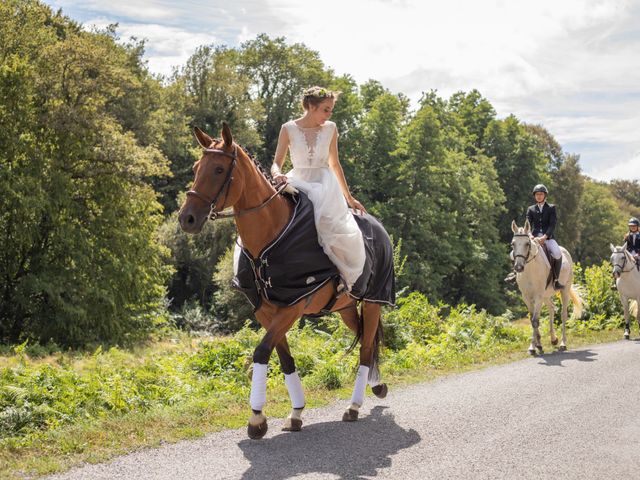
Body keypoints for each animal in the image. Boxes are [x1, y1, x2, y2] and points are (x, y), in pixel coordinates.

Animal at [180, 124, 390, 438]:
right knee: (366, 337)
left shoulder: (293, 307)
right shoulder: (265, 311)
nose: (187, 218)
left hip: (374, 301)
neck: (271, 235)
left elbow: (261, 351)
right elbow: (285, 359)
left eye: (218, 169)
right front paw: (296, 412)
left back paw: (353, 406)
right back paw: (376, 385)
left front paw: (256, 418)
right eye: (196, 167)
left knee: (365, 349)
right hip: (345, 307)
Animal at [512, 220, 584, 352]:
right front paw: (537, 345)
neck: (530, 269)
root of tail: (565, 251)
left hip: (564, 290)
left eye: (527, 244)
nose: (519, 267)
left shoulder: (538, 296)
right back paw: (553, 339)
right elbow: (532, 320)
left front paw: (533, 347)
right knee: (551, 308)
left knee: (563, 314)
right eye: (513, 244)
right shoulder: (526, 297)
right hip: (545, 295)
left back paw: (562, 343)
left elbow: (535, 321)